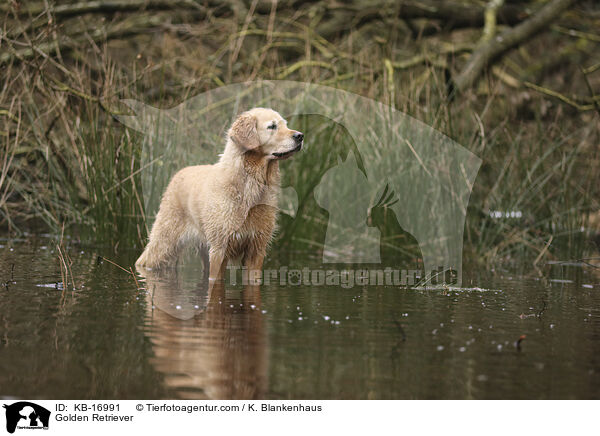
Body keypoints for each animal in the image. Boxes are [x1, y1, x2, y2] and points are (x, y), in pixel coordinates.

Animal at [137, 107, 304, 282]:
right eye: (272, 126)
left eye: (285, 125)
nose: (300, 136)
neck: (248, 187)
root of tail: (179, 173)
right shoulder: (219, 249)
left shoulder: (256, 249)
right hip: (164, 241)